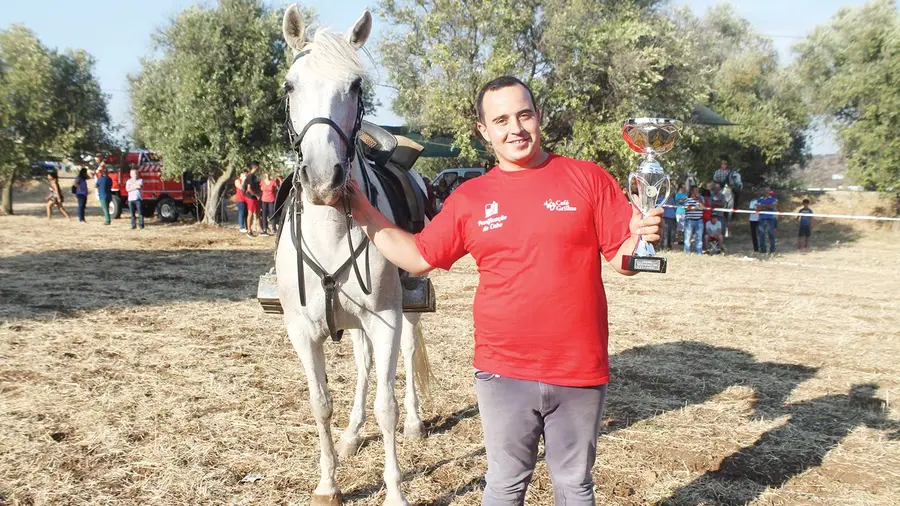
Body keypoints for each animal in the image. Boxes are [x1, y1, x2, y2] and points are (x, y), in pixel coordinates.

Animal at [276, 4, 434, 506]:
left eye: (356, 86)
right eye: (290, 85)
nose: (324, 178)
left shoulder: (385, 318)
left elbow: (387, 404)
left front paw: (395, 490)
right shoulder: (303, 331)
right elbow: (320, 402)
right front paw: (329, 482)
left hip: (405, 312)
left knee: (405, 353)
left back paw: (415, 422)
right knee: (363, 366)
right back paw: (351, 433)